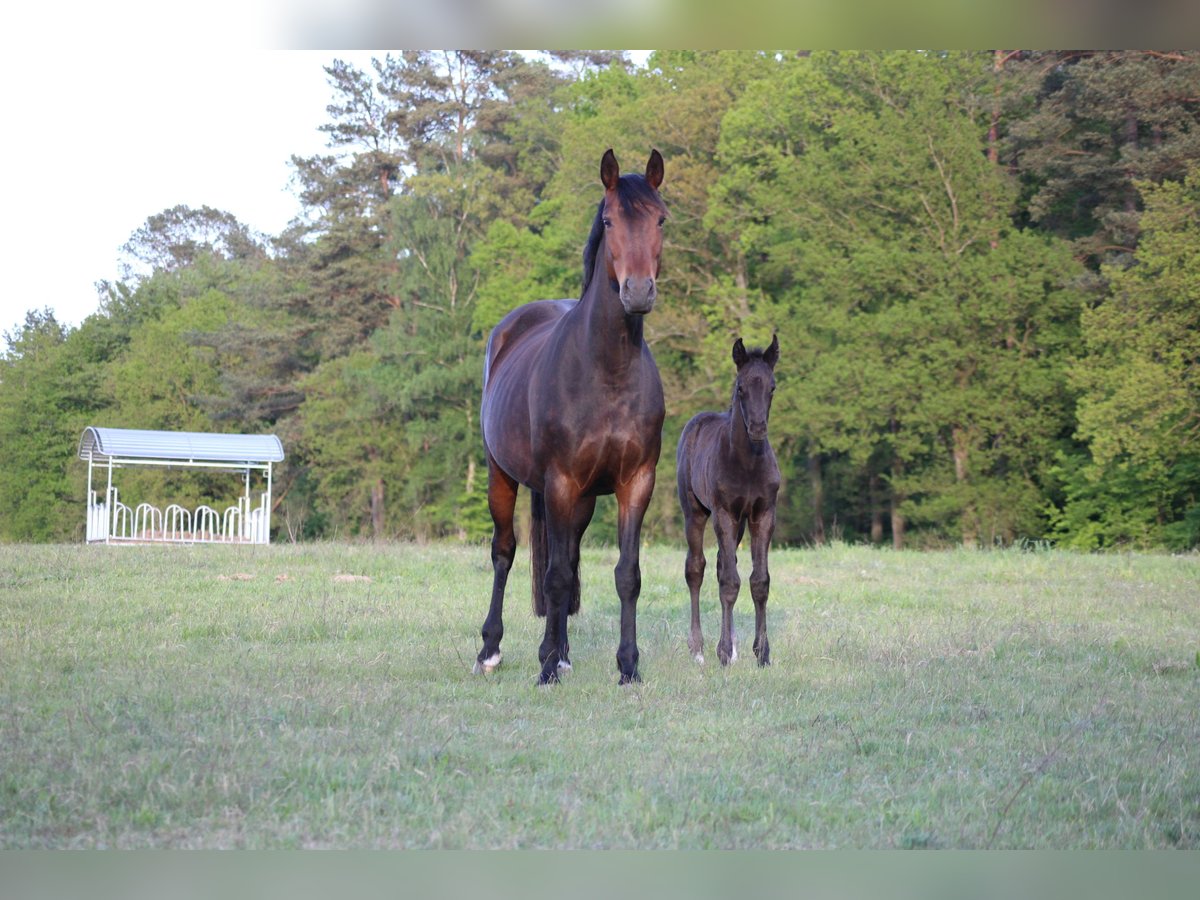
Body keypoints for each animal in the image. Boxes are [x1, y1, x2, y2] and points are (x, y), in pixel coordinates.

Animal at [472, 148, 672, 686]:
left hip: (578, 500)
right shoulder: (559, 481)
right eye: (609, 220)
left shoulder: (635, 483)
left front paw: (628, 666)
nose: (638, 291)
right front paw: (544, 670)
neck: (606, 371)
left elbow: (626, 575)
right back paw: (491, 650)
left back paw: (559, 651)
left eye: (660, 219)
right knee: (506, 553)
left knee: (568, 557)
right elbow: (555, 576)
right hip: (503, 476)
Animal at [676, 336, 777, 667]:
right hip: (695, 512)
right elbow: (730, 582)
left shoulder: (762, 515)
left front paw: (761, 652)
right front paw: (721, 651)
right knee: (696, 569)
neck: (747, 464)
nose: (757, 428)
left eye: (772, 387)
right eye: (740, 387)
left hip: (740, 523)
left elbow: (759, 582)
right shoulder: (723, 514)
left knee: (723, 564)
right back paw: (698, 648)